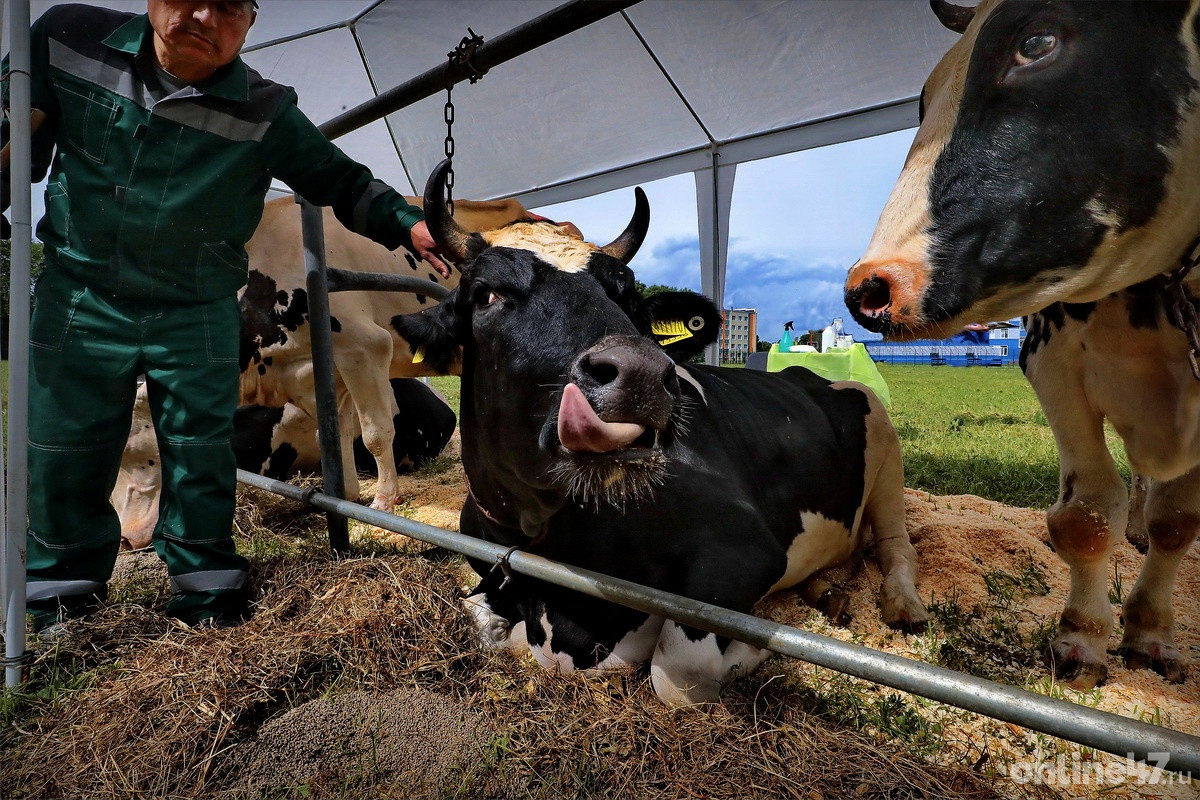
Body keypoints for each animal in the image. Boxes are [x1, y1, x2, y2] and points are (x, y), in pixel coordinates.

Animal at [396, 164, 926, 705]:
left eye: (629, 298)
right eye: (486, 294)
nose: (643, 375)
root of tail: (807, 375)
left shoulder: (744, 551)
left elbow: (677, 668)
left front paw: (758, 648)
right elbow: (480, 618)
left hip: (886, 454)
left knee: (896, 545)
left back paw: (902, 604)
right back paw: (827, 593)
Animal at [844, 0, 1200, 690]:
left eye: (1036, 42)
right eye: (922, 99)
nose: (870, 287)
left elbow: (1178, 520)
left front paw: (1150, 636)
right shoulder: (1053, 355)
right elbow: (1087, 514)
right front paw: (1082, 642)